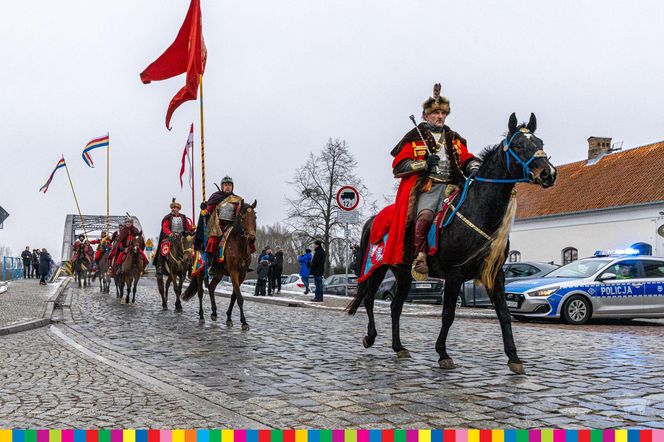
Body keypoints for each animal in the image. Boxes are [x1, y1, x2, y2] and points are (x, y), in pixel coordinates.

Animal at [183, 199, 258, 328]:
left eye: (255, 217)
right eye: (243, 217)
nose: (251, 238)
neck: (239, 246)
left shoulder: (242, 274)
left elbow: (234, 296)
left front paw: (229, 318)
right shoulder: (233, 272)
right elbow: (239, 298)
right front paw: (244, 322)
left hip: (219, 273)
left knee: (211, 287)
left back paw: (214, 312)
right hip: (200, 271)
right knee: (201, 292)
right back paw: (201, 316)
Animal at [344, 113, 556, 372]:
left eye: (540, 142)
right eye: (518, 144)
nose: (548, 173)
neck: (479, 210)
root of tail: (374, 219)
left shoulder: (495, 274)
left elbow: (504, 314)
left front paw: (514, 359)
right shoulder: (455, 274)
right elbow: (448, 314)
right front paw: (443, 353)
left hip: (403, 273)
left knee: (395, 307)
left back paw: (399, 347)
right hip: (376, 268)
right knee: (368, 299)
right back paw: (370, 337)